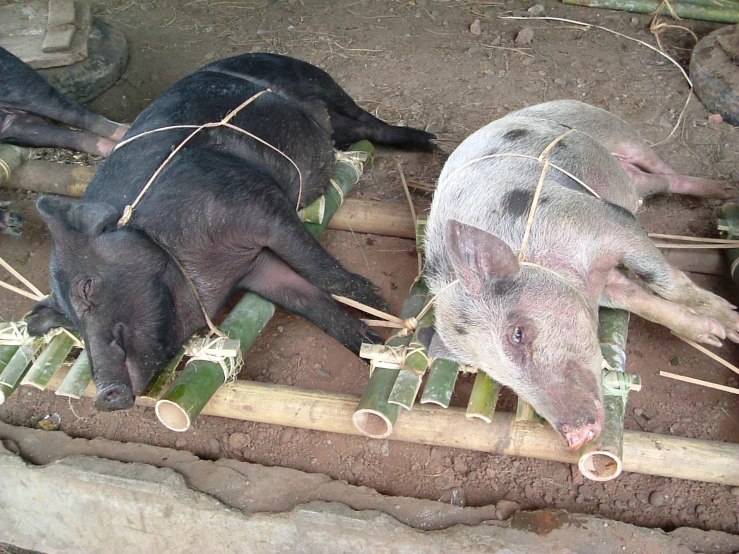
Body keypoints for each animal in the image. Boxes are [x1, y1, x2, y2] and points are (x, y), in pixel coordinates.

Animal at [26, 54, 436, 410]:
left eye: (87, 287)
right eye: (71, 323)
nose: (103, 395)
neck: (199, 270)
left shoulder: (257, 204)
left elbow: (314, 263)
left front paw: (379, 303)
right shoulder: (257, 270)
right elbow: (308, 300)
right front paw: (372, 345)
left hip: (313, 77)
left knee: (365, 118)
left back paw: (430, 142)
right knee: (349, 128)